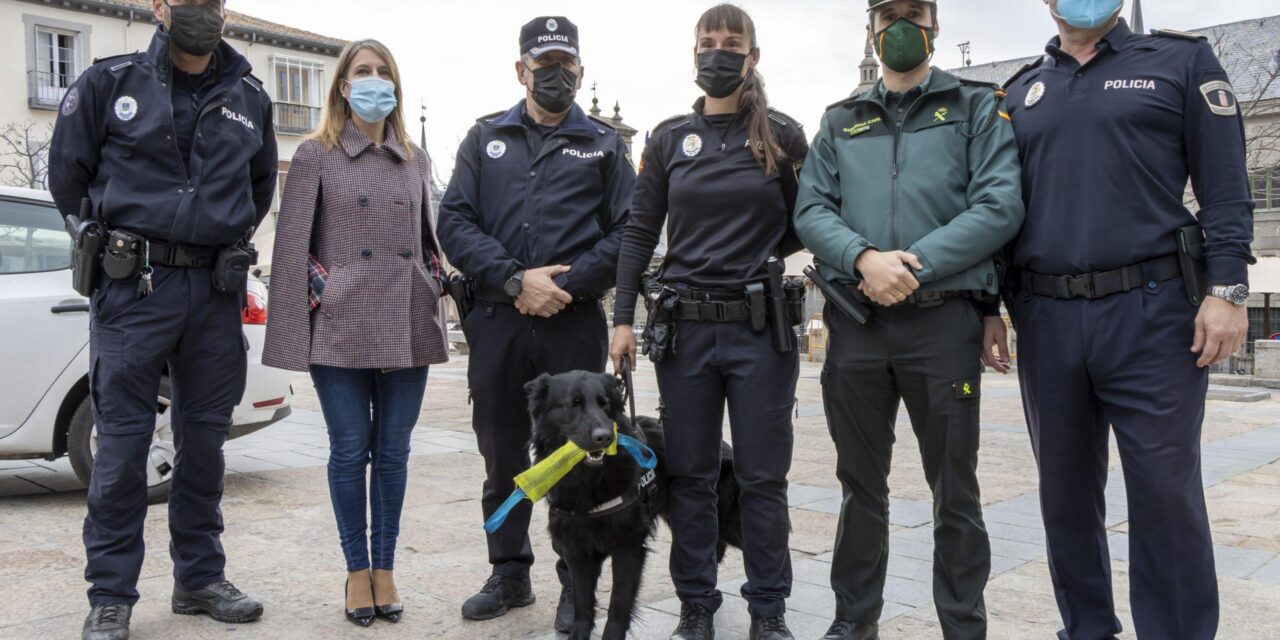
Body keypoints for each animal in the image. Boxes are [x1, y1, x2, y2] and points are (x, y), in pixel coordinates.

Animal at [519, 371, 742, 640]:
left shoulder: (629, 547)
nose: (605, 437)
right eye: (574, 404)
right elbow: (583, 607)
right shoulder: (576, 549)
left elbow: (618, 605)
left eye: (604, 403)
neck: (591, 482)